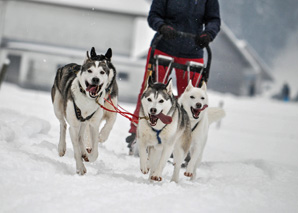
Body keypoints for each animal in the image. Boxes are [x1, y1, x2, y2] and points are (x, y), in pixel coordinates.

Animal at [51, 47, 117, 175]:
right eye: (90, 71)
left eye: (102, 72)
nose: (95, 79)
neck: (87, 99)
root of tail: (66, 66)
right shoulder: (74, 126)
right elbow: (76, 147)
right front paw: (80, 168)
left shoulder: (94, 124)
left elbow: (95, 149)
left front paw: (89, 157)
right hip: (58, 107)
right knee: (63, 124)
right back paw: (62, 147)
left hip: (84, 122)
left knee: (81, 136)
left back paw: (84, 153)